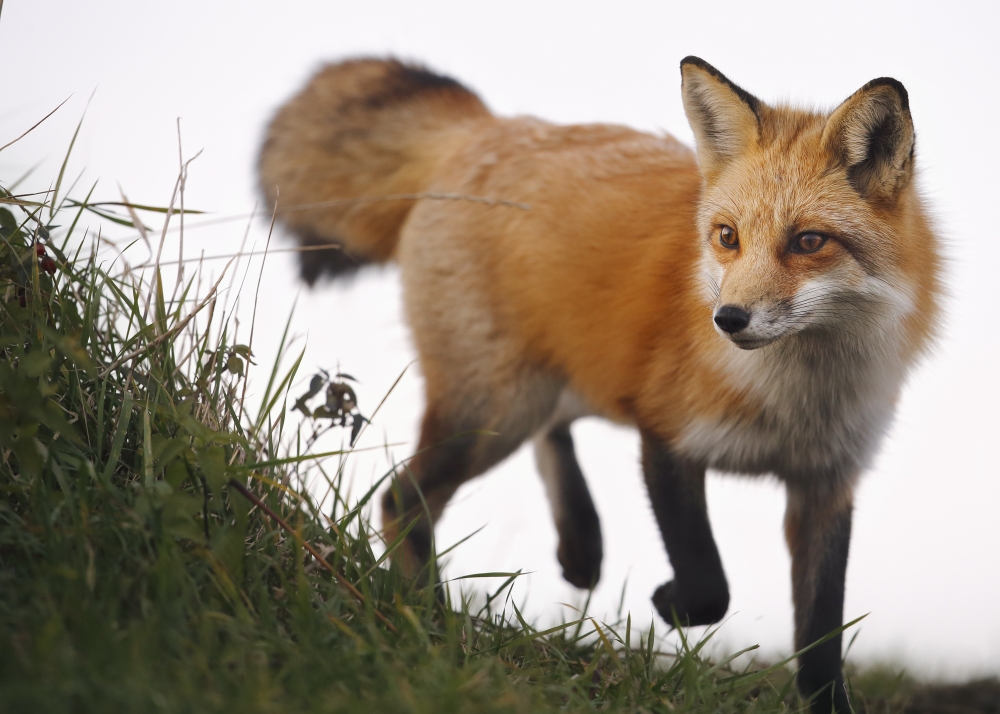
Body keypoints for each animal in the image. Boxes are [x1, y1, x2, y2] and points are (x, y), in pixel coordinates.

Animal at [258, 56, 941, 712]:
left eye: (808, 241)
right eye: (728, 237)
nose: (728, 319)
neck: (795, 401)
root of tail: (486, 126)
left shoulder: (826, 482)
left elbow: (821, 641)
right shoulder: (666, 434)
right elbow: (708, 586)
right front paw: (670, 603)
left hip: (544, 388)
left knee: (549, 434)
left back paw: (578, 545)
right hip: (493, 411)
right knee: (402, 501)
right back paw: (427, 617)